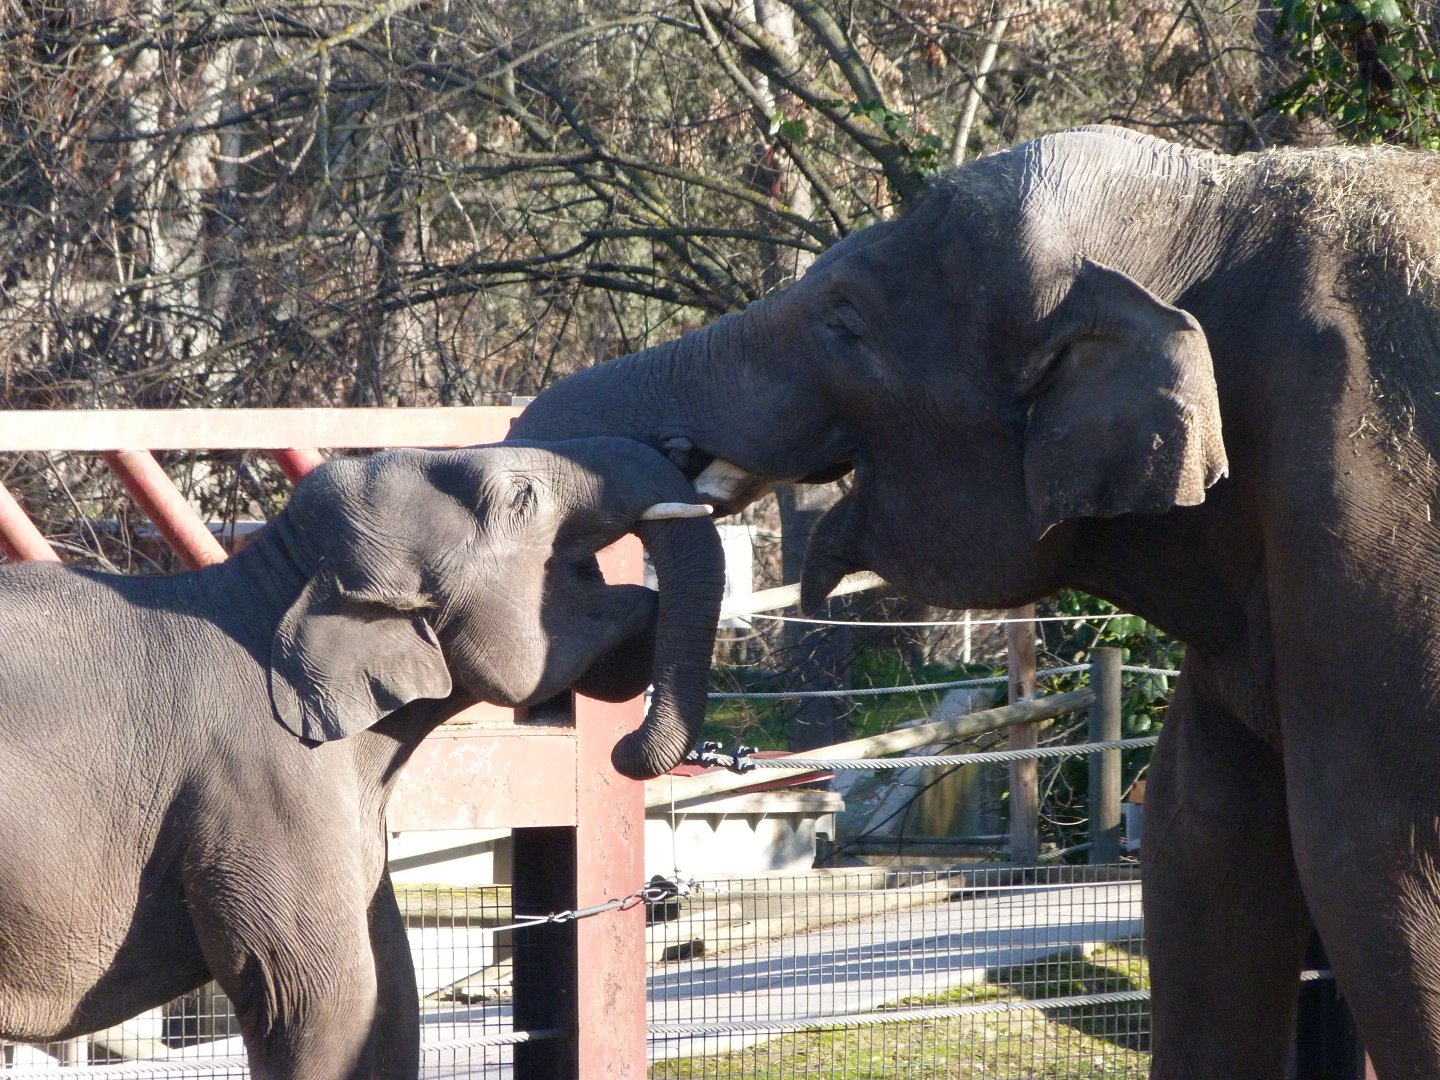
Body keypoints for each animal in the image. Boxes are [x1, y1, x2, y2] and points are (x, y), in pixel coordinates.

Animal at [0, 437, 722, 1078]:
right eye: (521, 498)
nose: (624, 749)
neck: (266, 583)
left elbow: (394, 995)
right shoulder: (265, 786)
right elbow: (320, 1001)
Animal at [509, 126, 1440, 1077]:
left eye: (845, 321)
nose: (619, 741)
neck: (1217, 199)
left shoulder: (1370, 523)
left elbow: (1374, 867)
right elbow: (1200, 854)